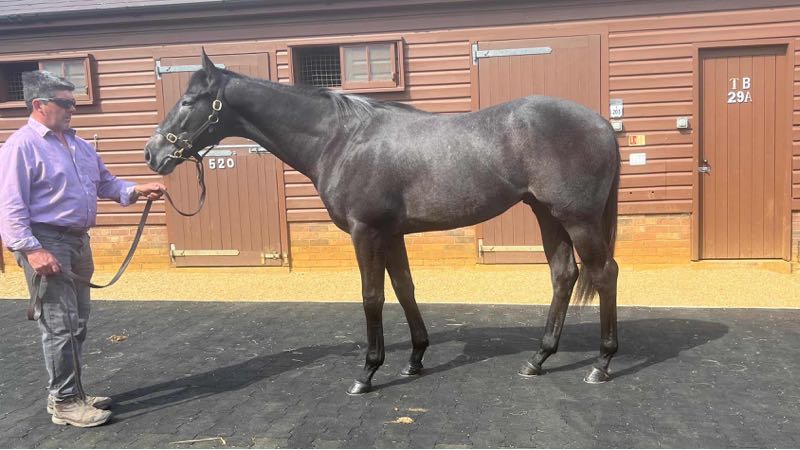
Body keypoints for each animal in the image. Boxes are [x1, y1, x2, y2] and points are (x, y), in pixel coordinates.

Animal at [144, 50, 621, 395]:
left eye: (188, 102)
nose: (153, 154)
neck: (341, 139)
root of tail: (601, 123)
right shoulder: (391, 233)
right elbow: (404, 287)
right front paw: (414, 360)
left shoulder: (366, 231)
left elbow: (372, 296)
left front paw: (367, 373)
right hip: (547, 214)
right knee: (564, 274)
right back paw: (538, 360)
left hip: (577, 218)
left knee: (603, 273)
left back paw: (601, 364)